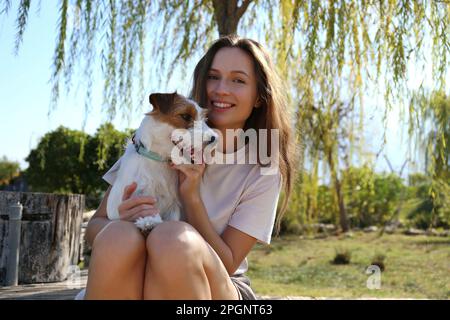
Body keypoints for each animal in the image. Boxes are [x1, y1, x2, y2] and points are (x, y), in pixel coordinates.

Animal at [106, 92, 218, 235]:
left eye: (204, 118)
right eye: (186, 116)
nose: (213, 138)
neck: (159, 159)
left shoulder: (173, 205)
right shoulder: (135, 196)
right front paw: (149, 221)